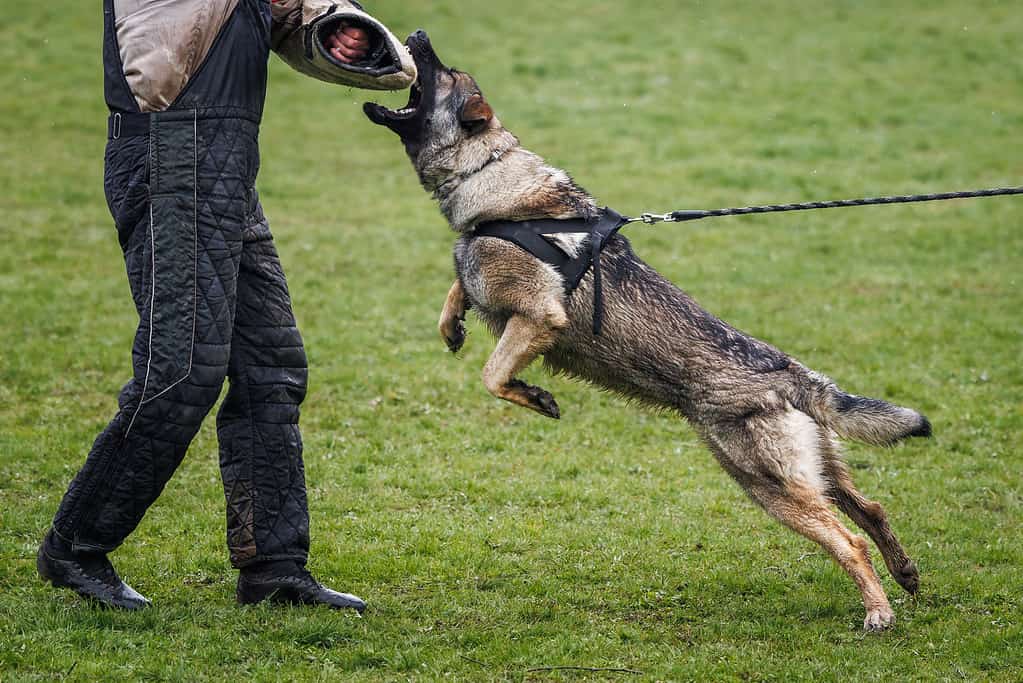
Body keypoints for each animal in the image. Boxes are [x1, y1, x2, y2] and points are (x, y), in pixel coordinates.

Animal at [364, 30, 932, 629]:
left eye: (444, 73)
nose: (418, 35)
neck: (489, 178)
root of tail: (792, 375)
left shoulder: (540, 317)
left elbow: (493, 375)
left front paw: (536, 397)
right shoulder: (488, 281)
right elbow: (459, 286)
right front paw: (453, 327)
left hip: (768, 484)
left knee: (850, 540)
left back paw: (878, 612)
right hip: (816, 473)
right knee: (871, 509)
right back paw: (906, 576)